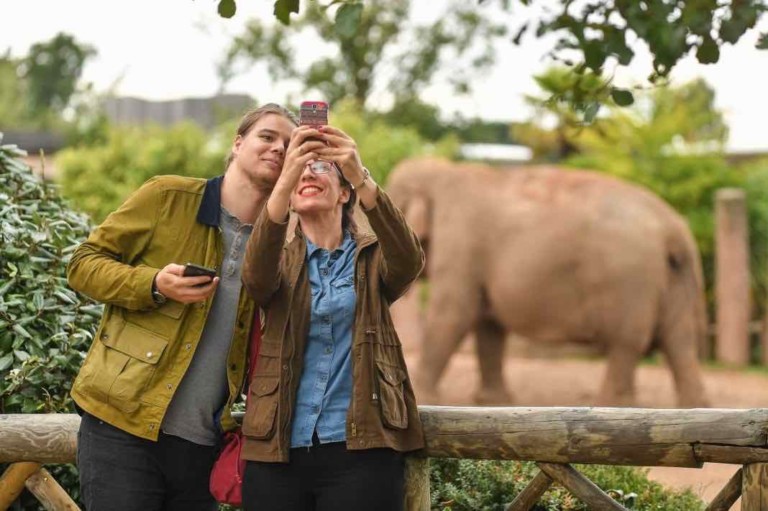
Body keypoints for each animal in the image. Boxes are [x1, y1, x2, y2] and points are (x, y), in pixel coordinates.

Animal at [388, 156, 712, 408]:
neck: (443, 172)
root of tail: (675, 229)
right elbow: (489, 326)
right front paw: (493, 402)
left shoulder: (460, 241)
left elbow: (454, 314)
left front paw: (425, 395)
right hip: (674, 280)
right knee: (679, 340)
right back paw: (691, 408)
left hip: (631, 280)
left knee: (628, 341)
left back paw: (614, 405)